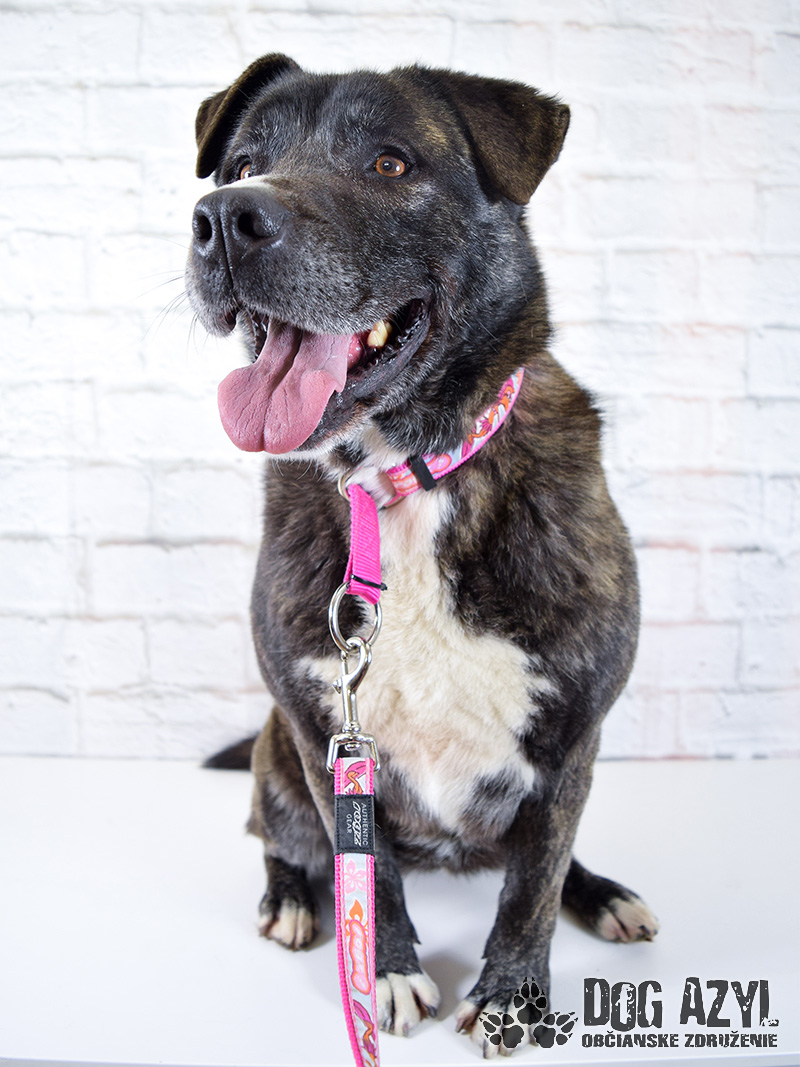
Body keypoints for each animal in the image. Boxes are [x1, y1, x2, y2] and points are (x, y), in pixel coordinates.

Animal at [185, 53, 658, 1058]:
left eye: (391, 164)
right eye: (241, 162)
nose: (225, 217)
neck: (404, 478)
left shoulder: (573, 735)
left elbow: (533, 885)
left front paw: (515, 996)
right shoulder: (323, 731)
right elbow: (371, 871)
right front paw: (389, 973)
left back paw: (604, 894)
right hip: (275, 756)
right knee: (279, 836)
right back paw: (292, 899)